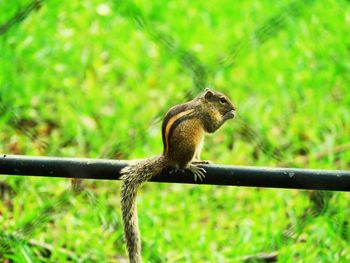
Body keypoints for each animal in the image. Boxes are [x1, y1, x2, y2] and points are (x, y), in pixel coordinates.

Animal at [119, 88, 237, 263]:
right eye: (222, 100)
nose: (234, 107)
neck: (203, 103)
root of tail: (169, 157)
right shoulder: (206, 115)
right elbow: (212, 127)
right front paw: (230, 114)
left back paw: (200, 161)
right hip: (190, 145)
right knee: (182, 165)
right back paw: (192, 167)